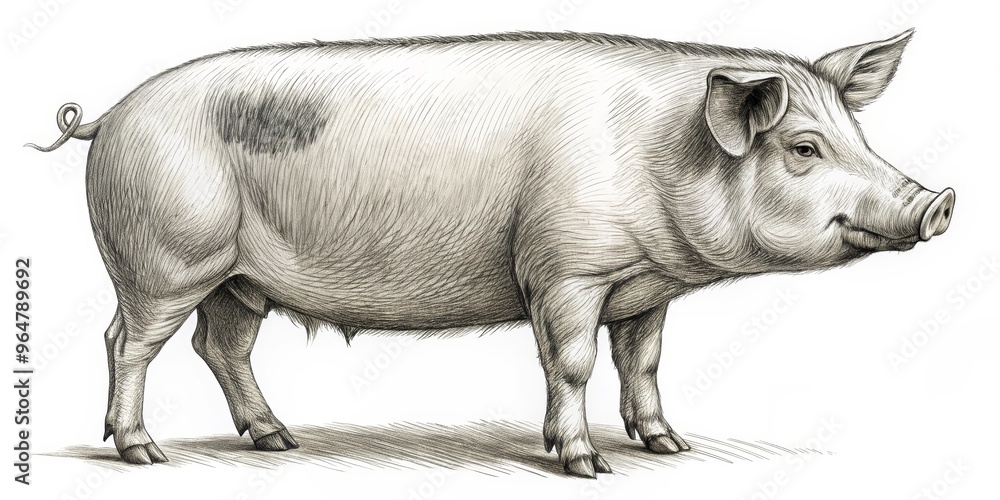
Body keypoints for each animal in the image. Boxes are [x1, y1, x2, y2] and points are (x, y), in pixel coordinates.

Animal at [27, 30, 954, 477]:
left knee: (219, 345)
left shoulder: (645, 287)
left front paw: (669, 447)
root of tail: (109, 116)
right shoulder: (566, 270)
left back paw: (277, 442)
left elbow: (645, 363)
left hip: (237, 279)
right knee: (127, 342)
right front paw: (584, 465)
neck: (667, 159)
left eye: (857, 136)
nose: (939, 202)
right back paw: (142, 453)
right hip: (164, 260)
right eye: (803, 147)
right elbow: (572, 364)